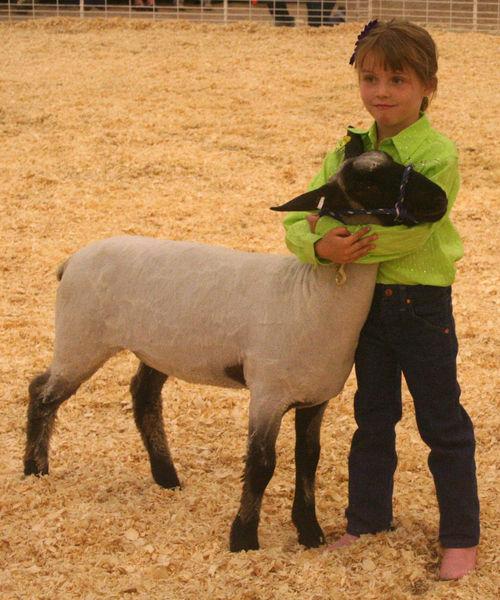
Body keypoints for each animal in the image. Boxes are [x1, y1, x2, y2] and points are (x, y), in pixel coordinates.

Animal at [23, 135, 448, 552]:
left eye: (396, 162)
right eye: (368, 184)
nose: (440, 198)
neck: (311, 294)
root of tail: (71, 261)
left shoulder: (315, 397)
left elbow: (308, 459)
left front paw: (310, 533)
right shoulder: (267, 393)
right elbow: (261, 464)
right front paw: (243, 538)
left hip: (156, 349)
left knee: (143, 396)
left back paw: (166, 477)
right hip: (80, 339)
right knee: (42, 392)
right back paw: (35, 470)